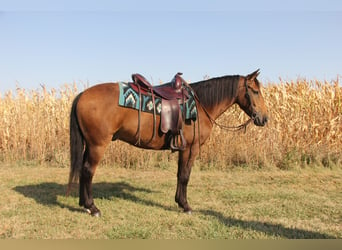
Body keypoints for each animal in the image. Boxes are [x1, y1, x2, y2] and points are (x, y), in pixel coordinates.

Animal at [67, 69, 268, 216]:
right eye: (255, 91)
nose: (264, 118)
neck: (201, 105)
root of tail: (82, 95)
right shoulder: (191, 149)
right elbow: (185, 176)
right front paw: (186, 206)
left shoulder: (183, 148)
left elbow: (180, 175)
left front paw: (179, 201)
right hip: (98, 145)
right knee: (88, 171)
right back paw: (92, 207)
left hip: (89, 145)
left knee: (83, 171)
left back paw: (83, 203)